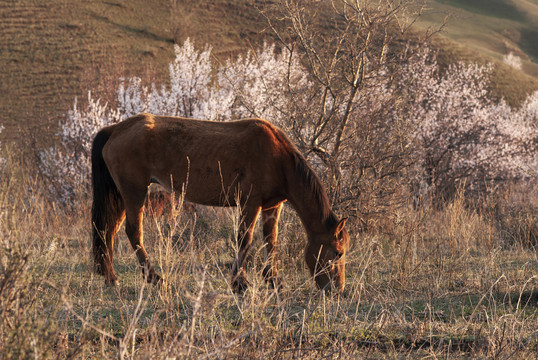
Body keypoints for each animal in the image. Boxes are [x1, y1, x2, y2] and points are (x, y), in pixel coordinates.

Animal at [90, 112, 350, 292]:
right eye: (337, 253)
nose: (337, 290)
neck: (277, 158)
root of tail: (115, 129)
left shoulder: (272, 206)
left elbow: (271, 241)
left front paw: (273, 279)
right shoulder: (250, 204)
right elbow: (245, 239)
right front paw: (239, 282)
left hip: (122, 195)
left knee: (108, 231)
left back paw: (111, 277)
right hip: (134, 192)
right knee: (133, 232)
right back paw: (154, 277)